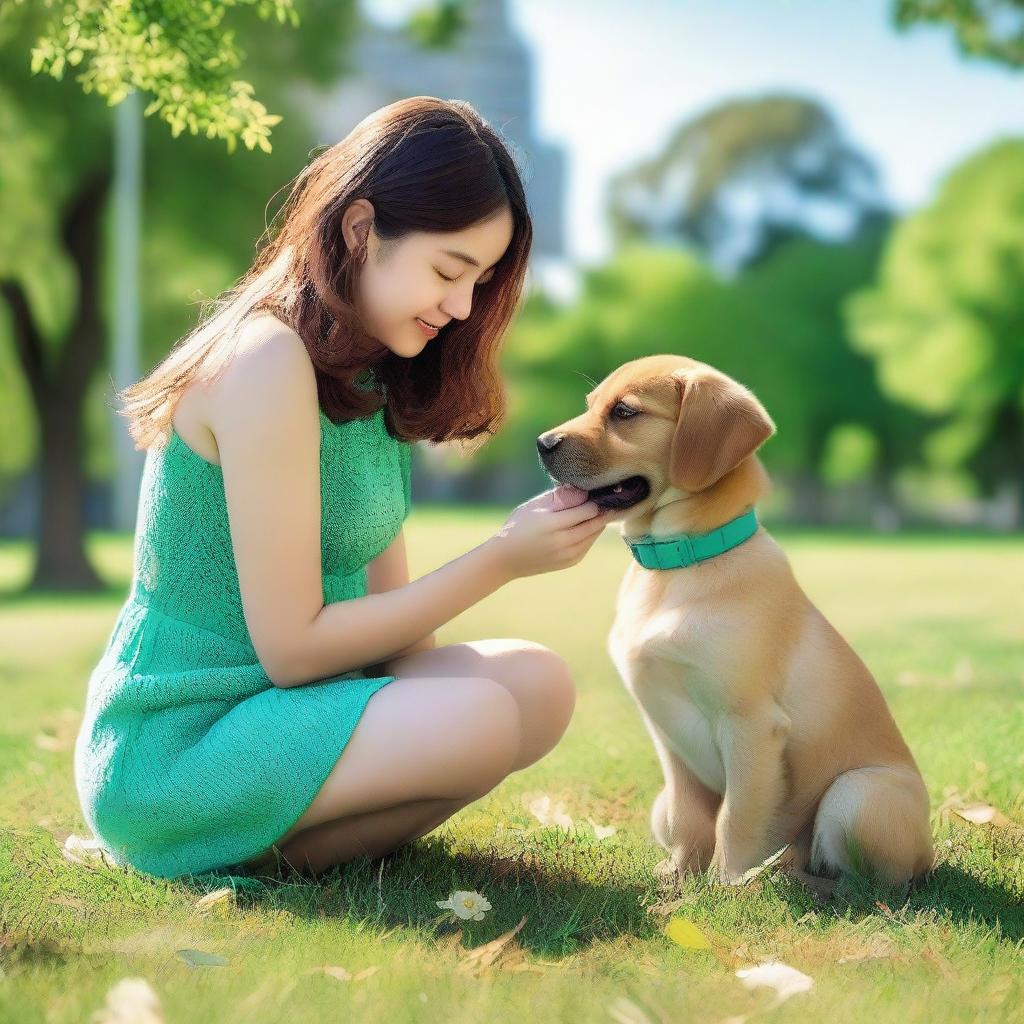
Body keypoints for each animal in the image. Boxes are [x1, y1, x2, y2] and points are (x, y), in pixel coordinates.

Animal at [540, 356, 933, 892]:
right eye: (591, 405)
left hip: (858, 793)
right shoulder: (666, 734)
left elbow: (737, 817)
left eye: (624, 412)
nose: (541, 443)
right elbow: (690, 817)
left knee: (874, 884)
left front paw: (724, 888)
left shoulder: (750, 725)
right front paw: (679, 878)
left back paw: (795, 883)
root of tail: (930, 854)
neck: (680, 565)